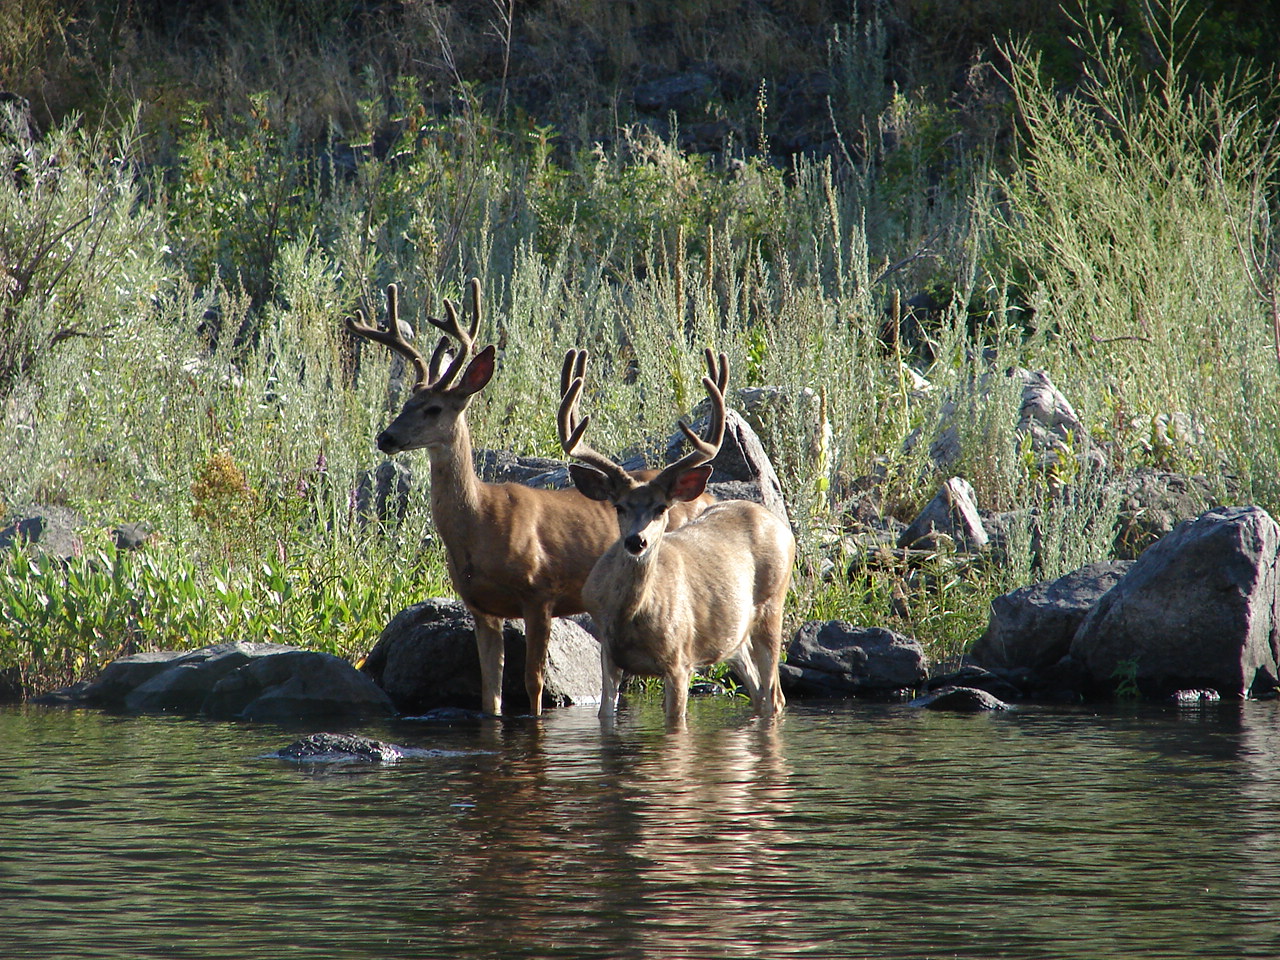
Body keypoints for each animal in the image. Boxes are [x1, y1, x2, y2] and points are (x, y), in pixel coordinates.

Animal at [345, 277, 716, 716]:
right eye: (405, 403)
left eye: (433, 409)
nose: (385, 438)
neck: (479, 524)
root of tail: (708, 496)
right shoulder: (480, 607)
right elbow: (490, 693)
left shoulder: (540, 594)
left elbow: (533, 684)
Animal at [558, 345, 793, 727]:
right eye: (618, 506)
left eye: (661, 508)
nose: (636, 541)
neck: (630, 616)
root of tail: (774, 521)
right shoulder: (608, 652)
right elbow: (605, 715)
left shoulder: (680, 659)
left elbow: (676, 722)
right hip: (733, 636)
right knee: (759, 691)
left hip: (772, 606)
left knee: (774, 694)